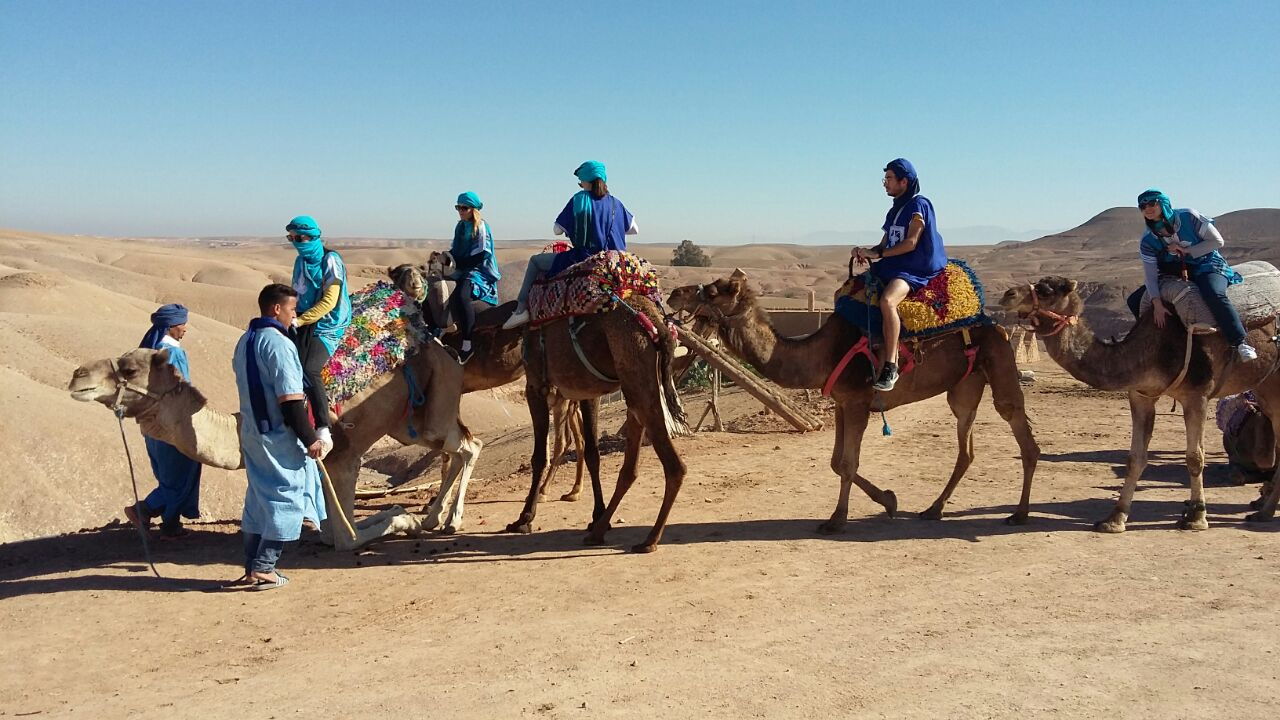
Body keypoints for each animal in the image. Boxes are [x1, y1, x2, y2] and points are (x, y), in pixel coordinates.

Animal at [68, 335, 481, 548]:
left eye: (129, 369)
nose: (77, 375)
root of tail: (448, 348)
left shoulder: (344, 461)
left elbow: (345, 538)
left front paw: (404, 518)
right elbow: (333, 531)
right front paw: (403, 514)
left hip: (437, 403)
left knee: (468, 445)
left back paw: (448, 520)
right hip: (406, 422)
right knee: (458, 447)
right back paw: (435, 519)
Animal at [386, 258, 586, 499]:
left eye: (421, 272)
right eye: (397, 275)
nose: (414, 285)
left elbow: (448, 445)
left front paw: (440, 498)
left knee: (564, 438)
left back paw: (545, 490)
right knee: (579, 434)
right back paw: (574, 490)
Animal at [670, 266, 1039, 530]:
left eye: (712, 291)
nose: (674, 293)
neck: (821, 353)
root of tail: (998, 324)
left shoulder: (859, 402)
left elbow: (848, 463)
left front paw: (837, 520)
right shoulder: (842, 402)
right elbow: (836, 462)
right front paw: (889, 500)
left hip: (999, 364)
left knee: (1022, 435)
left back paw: (1019, 514)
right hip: (964, 387)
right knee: (966, 448)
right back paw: (933, 509)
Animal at [998, 278, 1280, 530]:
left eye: (1045, 290)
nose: (1007, 295)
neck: (1151, 349)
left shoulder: (1196, 396)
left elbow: (1194, 457)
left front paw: (1197, 517)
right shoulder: (1140, 395)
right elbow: (1135, 458)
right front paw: (1114, 519)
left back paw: (1263, 509)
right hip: (1266, 386)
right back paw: (1263, 510)